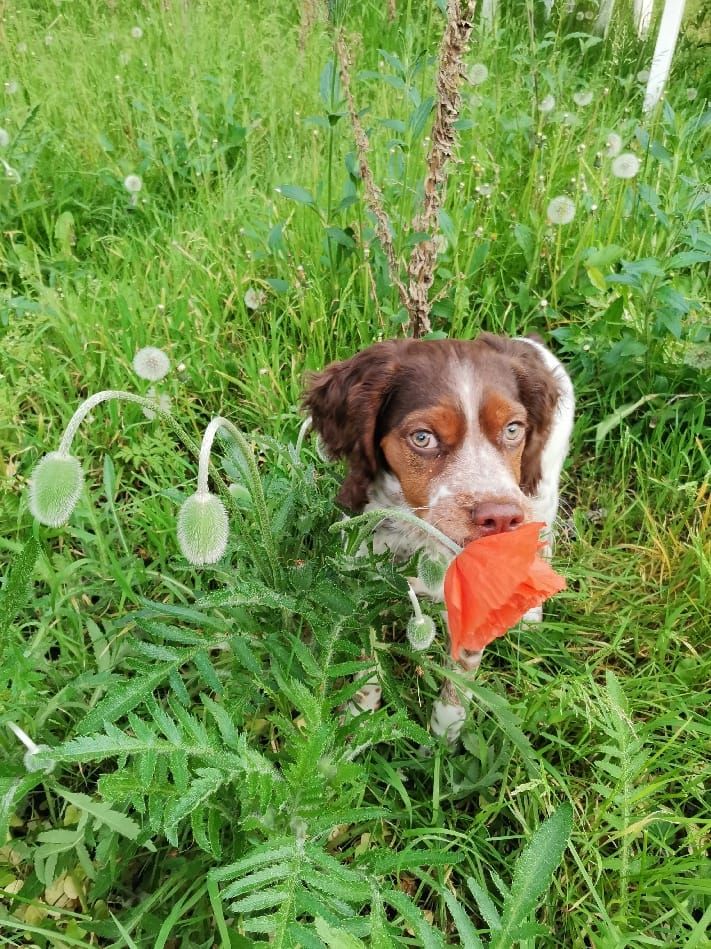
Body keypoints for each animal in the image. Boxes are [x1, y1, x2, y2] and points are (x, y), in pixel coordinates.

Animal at [304, 334, 572, 740]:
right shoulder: (362, 589)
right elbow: (367, 659)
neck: (421, 537)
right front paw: (359, 718)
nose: (501, 517)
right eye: (423, 437)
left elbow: (460, 677)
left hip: (540, 488)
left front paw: (444, 735)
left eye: (512, 429)